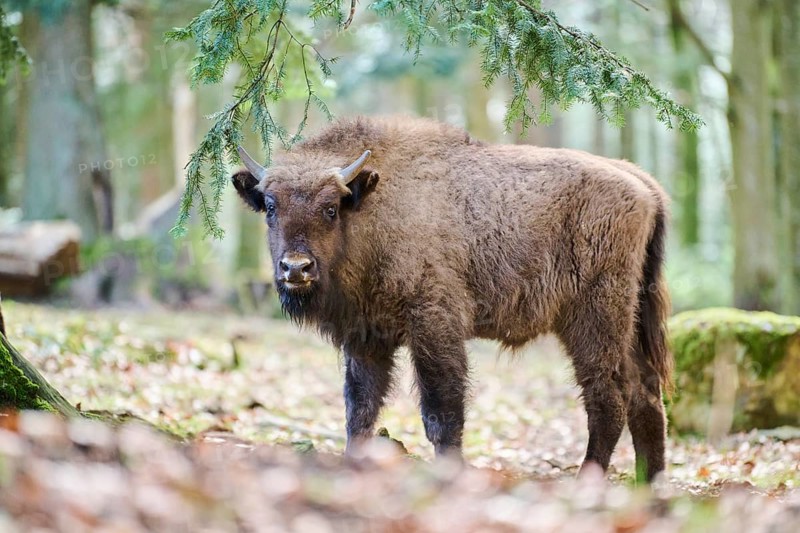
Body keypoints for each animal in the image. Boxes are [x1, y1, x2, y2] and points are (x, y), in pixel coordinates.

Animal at [233, 115, 672, 481]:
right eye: (270, 206)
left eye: (330, 208)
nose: (296, 269)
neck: (372, 205)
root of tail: (642, 183)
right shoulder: (367, 339)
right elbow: (360, 408)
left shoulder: (433, 326)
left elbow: (441, 410)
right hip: (629, 322)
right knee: (647, 396)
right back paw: (648, 485)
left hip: (595, 320)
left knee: (609, 398)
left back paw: (588, 482)